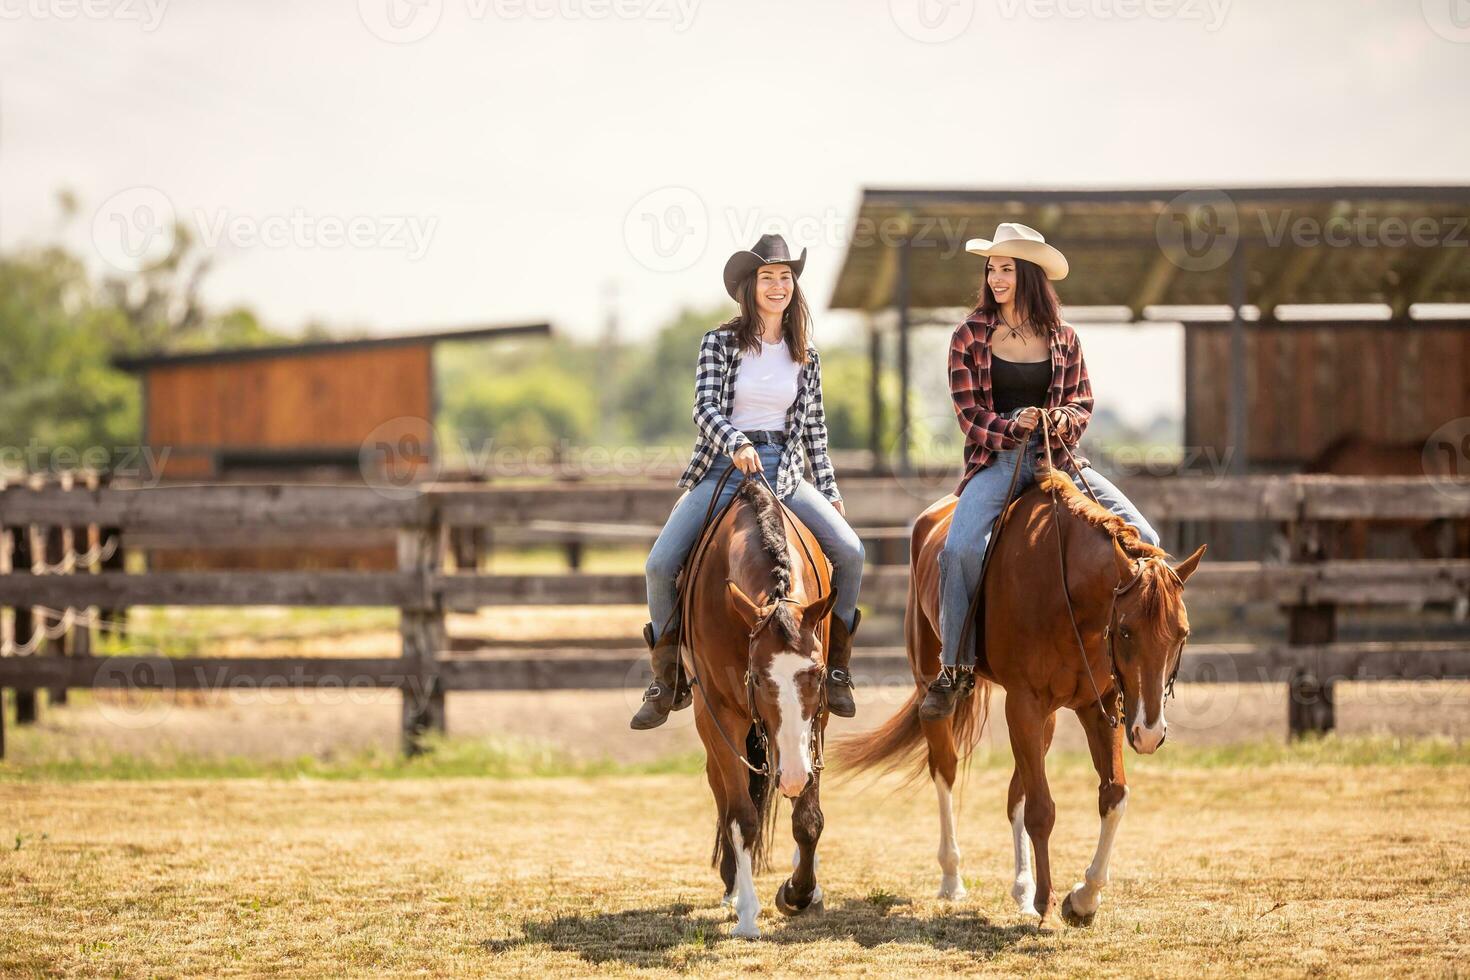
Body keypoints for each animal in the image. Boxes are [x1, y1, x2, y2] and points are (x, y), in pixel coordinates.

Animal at [679, 478, 840, 940]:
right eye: (757, 677)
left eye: (818, 674)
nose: (792, 776)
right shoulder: (719, 714)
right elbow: (742, 817)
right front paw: (748, 914)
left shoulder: (817, 720)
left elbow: (808, 818)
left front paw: (800, 893)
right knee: (723, 792)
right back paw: (733, 887)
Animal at [840, 464, 1205, 934]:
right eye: (1125, 631)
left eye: (1182, 634)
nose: (1148, 732)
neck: (1066, 589)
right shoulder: (1025, 705)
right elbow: (1042, 810)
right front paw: (1050, 900)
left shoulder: (1097, 706)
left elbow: (1113, 796)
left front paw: (1082, 898)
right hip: (932, 685)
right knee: (945, 769)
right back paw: (953, 879)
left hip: (1045, 718)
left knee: (1016, 791)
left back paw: (1021, 889)